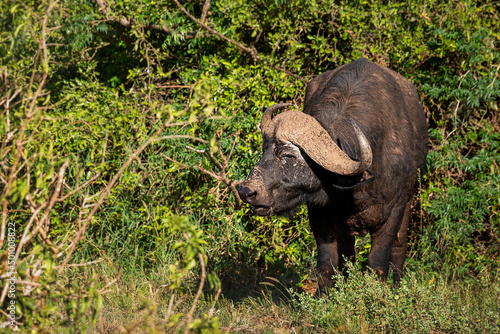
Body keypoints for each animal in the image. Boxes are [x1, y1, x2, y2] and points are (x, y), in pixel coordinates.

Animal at [240, 58, 428, 294]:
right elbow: (326, 265)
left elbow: (377, 263)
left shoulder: (394, 210)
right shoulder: (319, 215)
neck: (355, 185)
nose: (246, 191)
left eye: (288, 155)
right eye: (264, 149)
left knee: (399, 248)